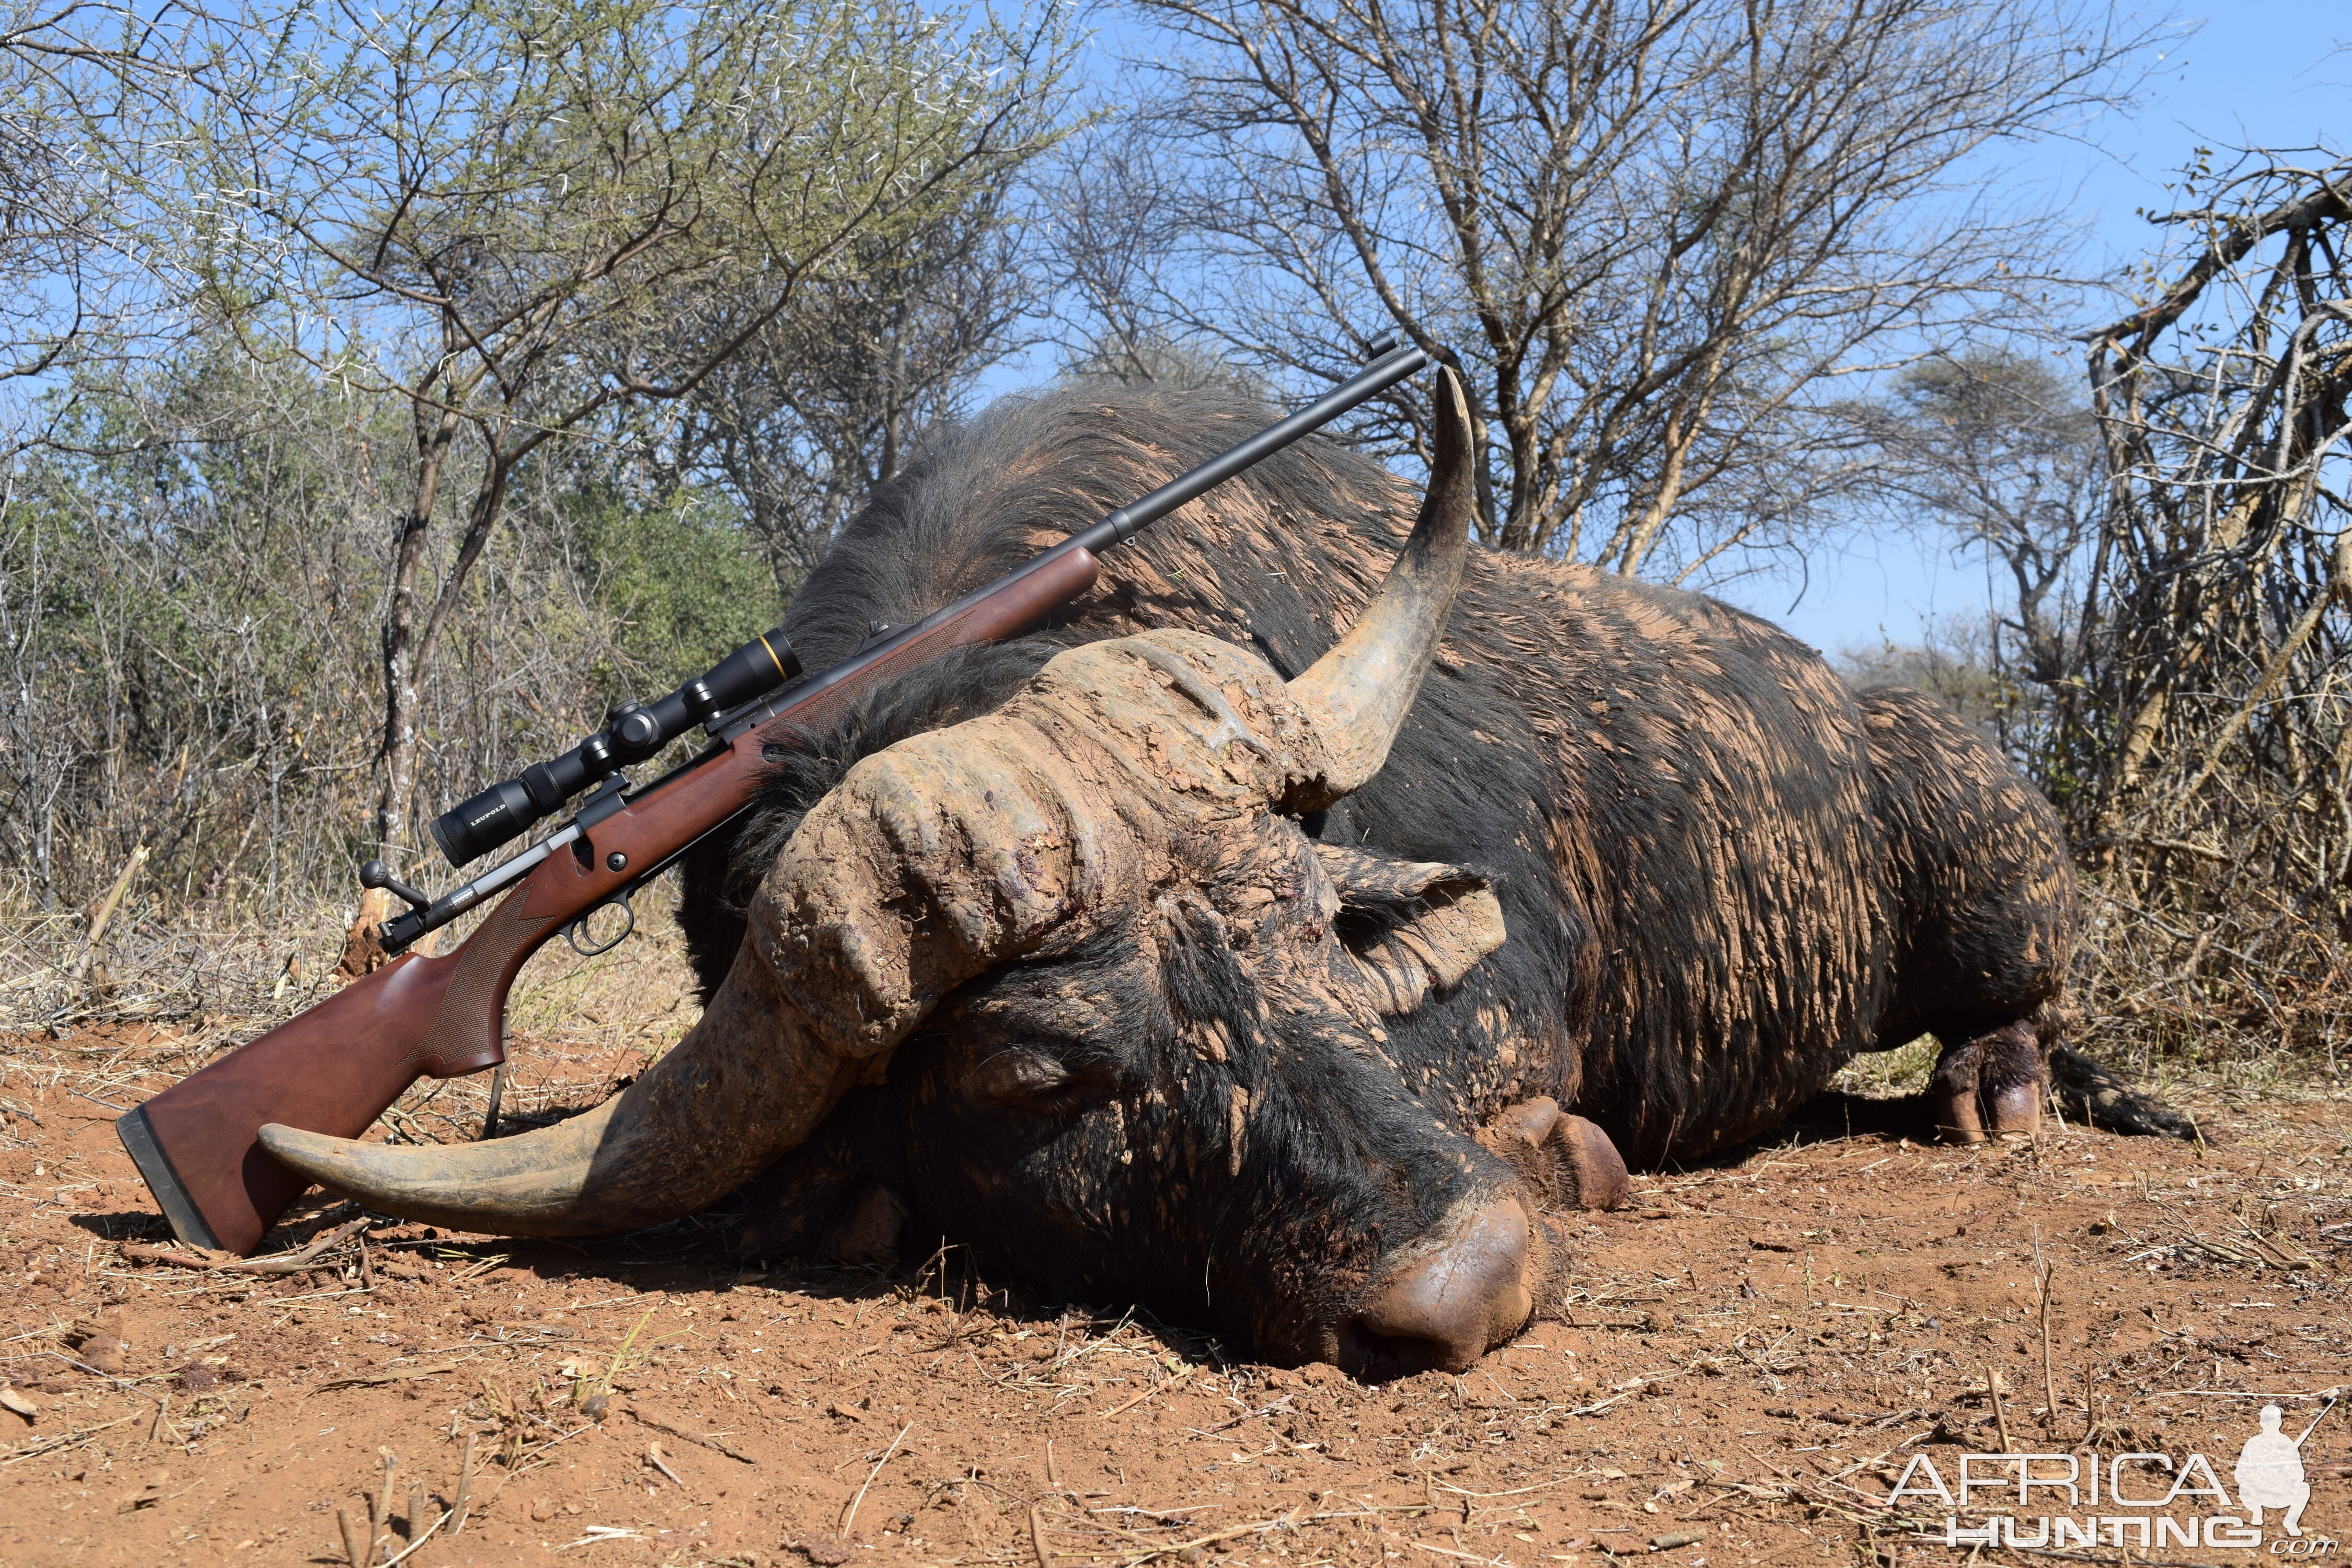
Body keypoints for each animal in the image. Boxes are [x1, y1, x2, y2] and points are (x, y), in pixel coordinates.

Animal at [267, 369, 2089, 1373]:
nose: (1475, 1286)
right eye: (1037, 1074)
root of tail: (1877, 712)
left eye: (1317, 943)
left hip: (1992, 876)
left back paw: (1995, 1094)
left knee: (2018, 1003)